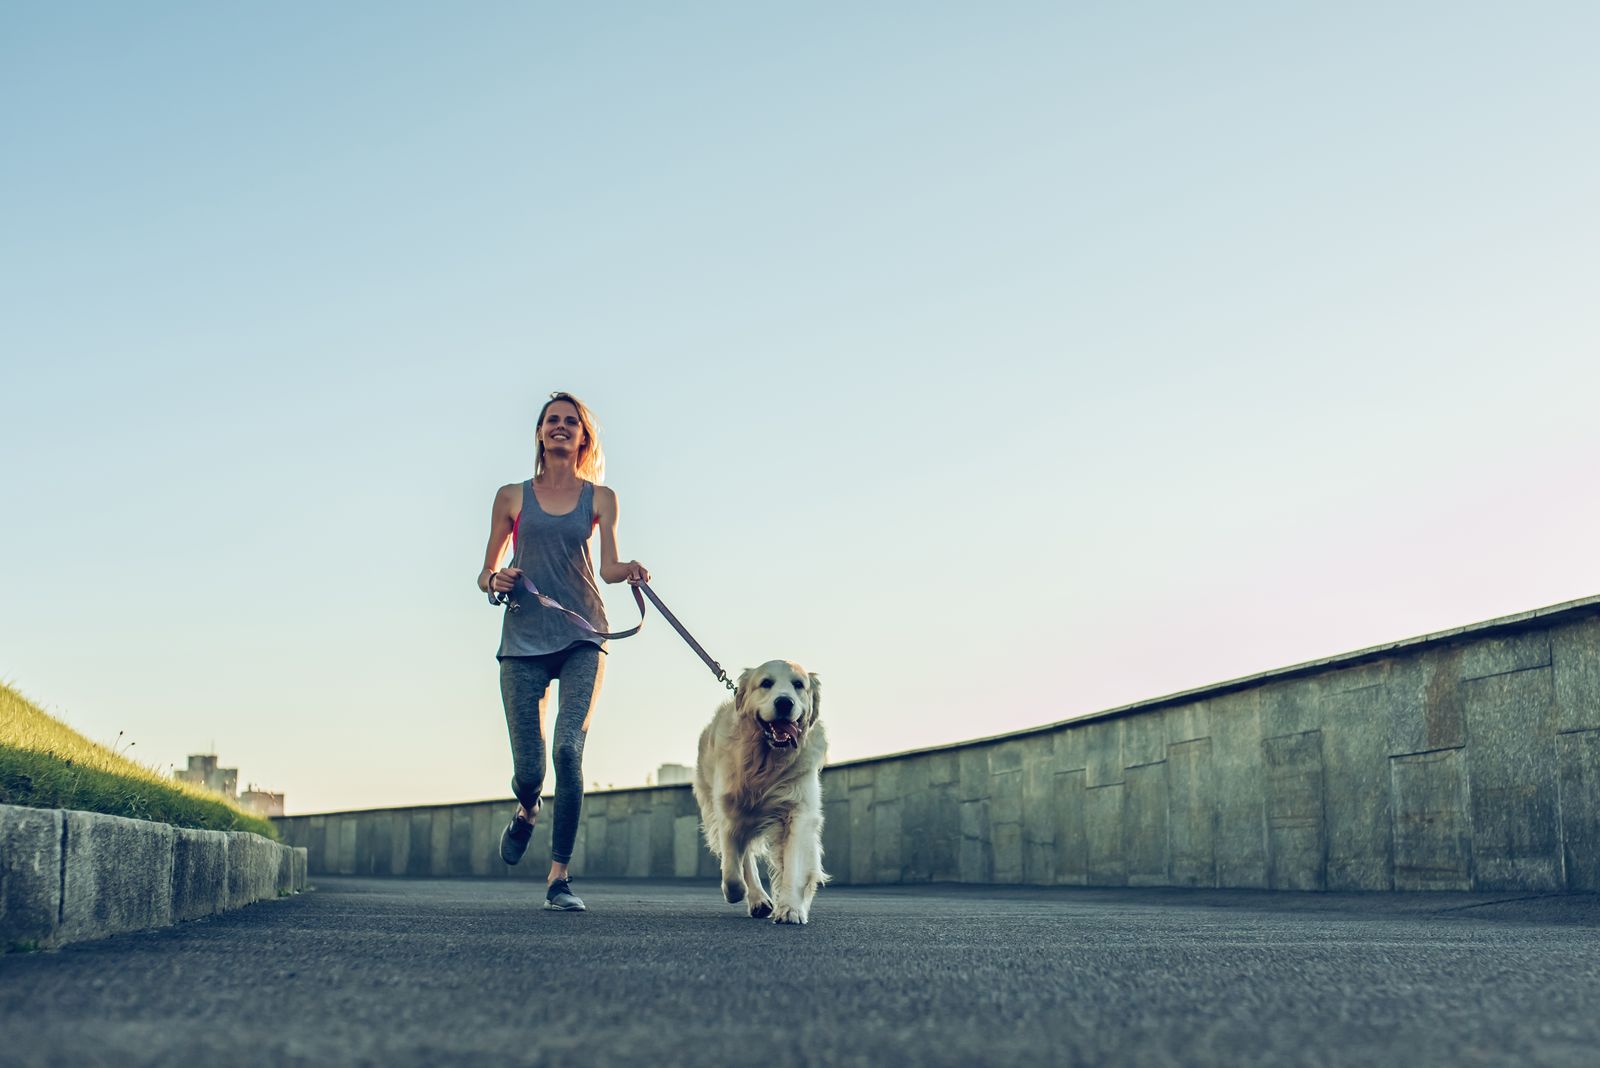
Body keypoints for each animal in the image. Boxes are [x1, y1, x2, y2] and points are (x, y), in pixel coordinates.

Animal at [694, 655, 832, 920]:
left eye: (798, 685)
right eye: (766, 683)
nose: (784, 702)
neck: (766, 762)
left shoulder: (798, 810)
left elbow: (794, 864)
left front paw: (790, 908)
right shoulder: (728, 809)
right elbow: (732, 869)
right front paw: (736, 891)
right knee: (743, 858)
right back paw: (757, 898)